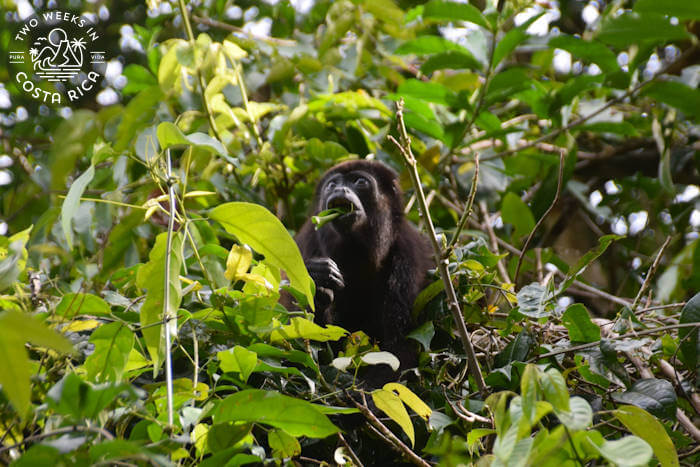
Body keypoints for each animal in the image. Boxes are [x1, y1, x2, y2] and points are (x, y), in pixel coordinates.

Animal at [292, 159, 433, 372]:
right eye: (332, 184)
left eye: (360, 181)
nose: (339, 189)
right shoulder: (306, 245)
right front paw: (318, 280)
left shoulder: (408, 257)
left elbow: (399, 349)